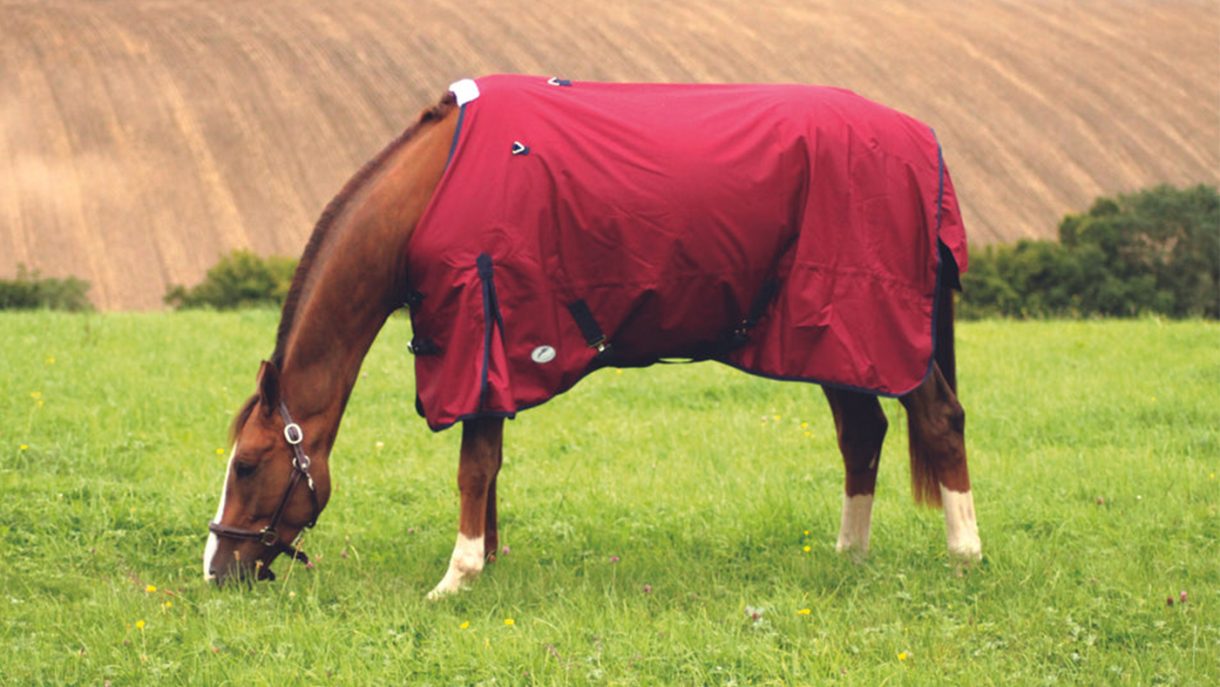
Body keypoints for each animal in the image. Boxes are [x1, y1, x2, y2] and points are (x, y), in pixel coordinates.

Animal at [203, 76, 981, 595]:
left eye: (248, 465)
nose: (216, 570)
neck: (435, 186)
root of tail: (925, 143)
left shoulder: (481, 334)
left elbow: (473, 466)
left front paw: (456, 576)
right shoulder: (498, 354)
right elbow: (491, 466)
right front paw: (487, 562)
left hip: (878, 329)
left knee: (940, 419)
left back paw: (964, 556)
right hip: (830, 339)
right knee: (862, 432)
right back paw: (850, 557)